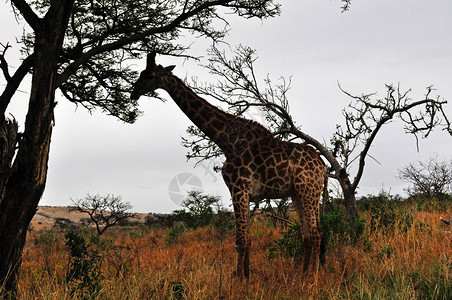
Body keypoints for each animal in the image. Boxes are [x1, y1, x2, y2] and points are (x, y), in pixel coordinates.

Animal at [131, 52, 324, 278]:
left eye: (150, 75)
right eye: (140, 73)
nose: (133, 93)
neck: (225, 140)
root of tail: (323, 166)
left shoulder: (238, 189)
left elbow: (241, 239)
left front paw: (239, 278)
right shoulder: (245, 193)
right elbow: (247, 239)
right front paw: (246, 276)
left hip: (308, 191)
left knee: (316, 234)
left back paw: (313, 278)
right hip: (298, 193)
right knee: (307, 236)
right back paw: (302, 275)